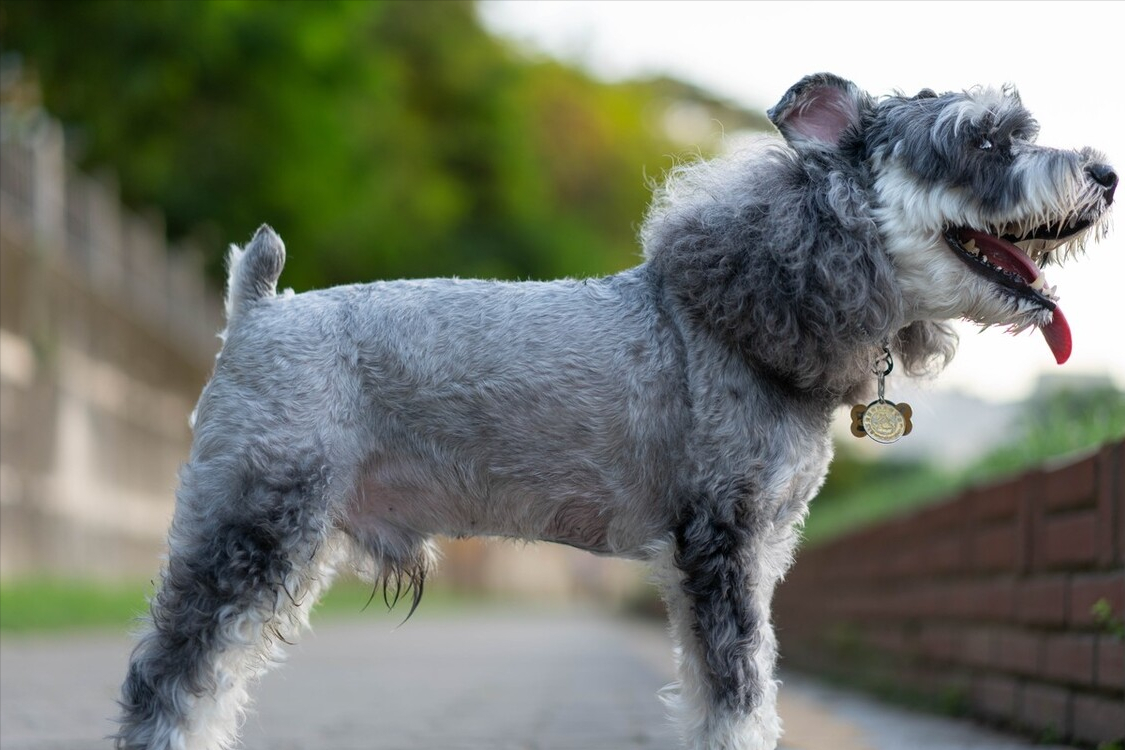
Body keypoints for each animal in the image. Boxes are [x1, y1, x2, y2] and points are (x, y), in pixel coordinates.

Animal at [116, 71, 1116, 750]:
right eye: (981, 142)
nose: (1103, 172)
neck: (758, 299)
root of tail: (256, 309)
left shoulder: (753, 554)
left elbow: (732, 685)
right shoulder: (718, 545)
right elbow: (736, 692)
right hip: (253, 525)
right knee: (168, 676)